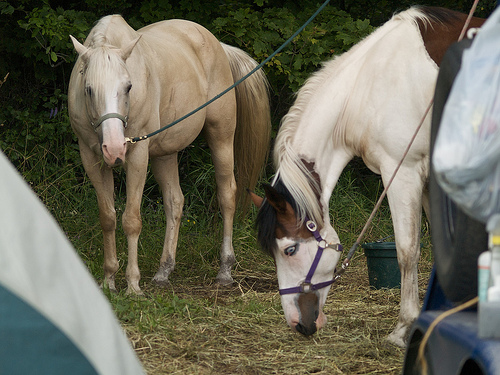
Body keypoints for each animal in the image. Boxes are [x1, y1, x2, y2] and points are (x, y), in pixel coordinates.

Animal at [69, 16, 272, 296]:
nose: (115, 149)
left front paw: (133, 285)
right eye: (88, 89)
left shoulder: (138, 155)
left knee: (227, 195)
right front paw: (109, 280)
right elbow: (108, 218)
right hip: (165, 154)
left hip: (220, 136)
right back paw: (164, 271)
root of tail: (219, 45)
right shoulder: (91, 158)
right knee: (175, 201)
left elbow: (131, 220)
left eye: (129, 87)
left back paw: (225, 270)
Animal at [250, 5, 484, 348]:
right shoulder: (429, 181)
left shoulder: (402, 173)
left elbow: (407, 250)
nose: (298, 325)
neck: (369, 86)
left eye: (289, 250)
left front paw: (403, 328)